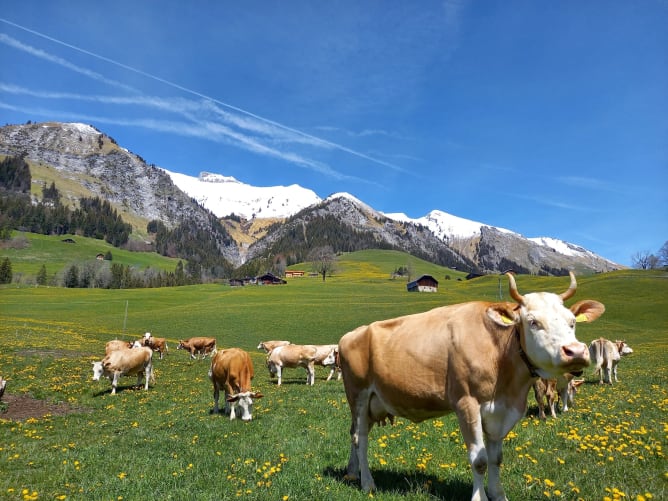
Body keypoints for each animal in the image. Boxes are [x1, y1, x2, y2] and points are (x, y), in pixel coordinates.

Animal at [336, 274, 604, 500]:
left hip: (373, 403)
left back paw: (352, 472)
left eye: (572, 322)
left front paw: (498, 495)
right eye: (533, 322)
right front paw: (480, 497)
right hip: (358, 396)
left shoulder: (502, 410)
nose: (575, 352)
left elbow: (496, 458)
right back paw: (367, 482)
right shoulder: (466, 403)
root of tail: (352, 334)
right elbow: (480, 459)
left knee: (353, 433)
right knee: (361, 438)